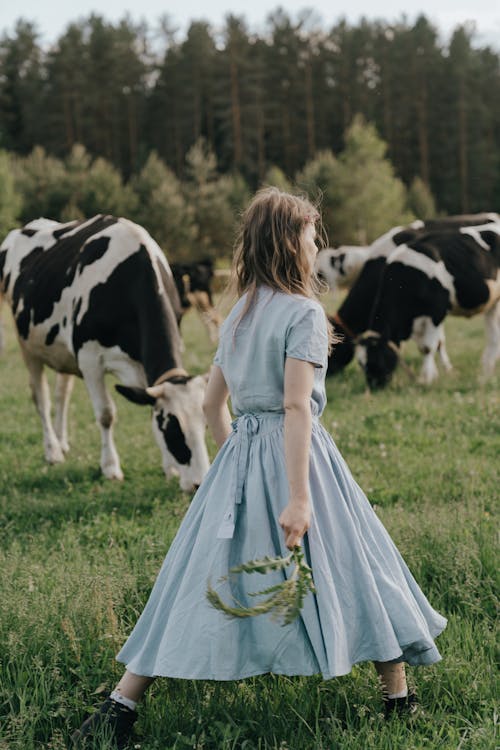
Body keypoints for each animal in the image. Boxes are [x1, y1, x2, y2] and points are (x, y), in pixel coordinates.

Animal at [0, 214, 210, 490]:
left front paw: (170, 469)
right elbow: (106, 414)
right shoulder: (89, 359)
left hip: (62, 352)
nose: (198, 483)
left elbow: (149, 408)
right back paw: (53, 451)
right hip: (28, 348)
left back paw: (62, 443)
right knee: (41, 399)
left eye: (205, 425)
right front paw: (110, 468)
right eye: (172, 429)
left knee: (61, 396)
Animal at [328, 214, 500, 382]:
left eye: (333, 348)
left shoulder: (437, 310)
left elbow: (432, 345)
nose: (374, 386)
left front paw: (433, 376)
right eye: (361, 364)